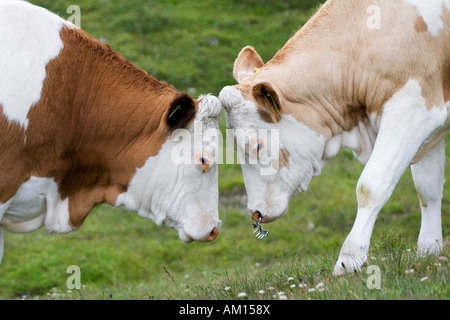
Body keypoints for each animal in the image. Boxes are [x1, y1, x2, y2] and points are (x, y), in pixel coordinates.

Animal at [219, 0, 450, 276]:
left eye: (256, 145)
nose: (255, 212)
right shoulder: (429, 121)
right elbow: (428, 189)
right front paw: (429, 251)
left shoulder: (412, 108)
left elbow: (371, 185)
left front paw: (349, 259)